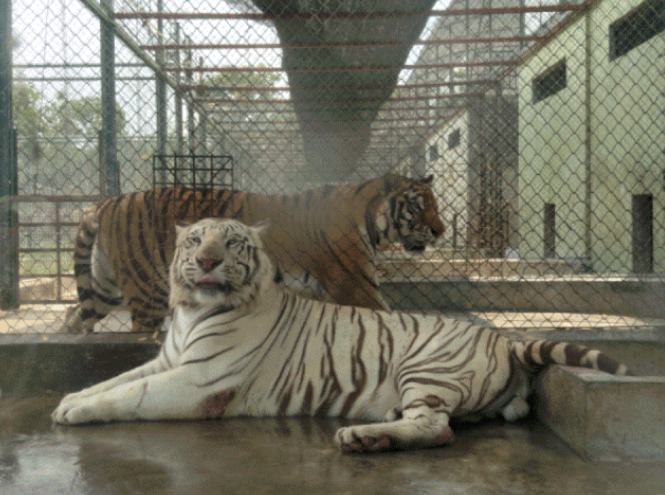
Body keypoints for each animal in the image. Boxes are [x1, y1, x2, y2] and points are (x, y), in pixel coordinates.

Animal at [53, 219, 628, 452]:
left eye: (231, 243)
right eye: (195, 239)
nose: (207, 260)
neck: (194, 311)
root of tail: (502, 340)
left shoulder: (198, 380)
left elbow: (130, 394)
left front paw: (75, 413)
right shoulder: (168, 360)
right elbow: (116, 379)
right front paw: (70, 398)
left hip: (426, 367)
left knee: (434, 427)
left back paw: (364, 438)